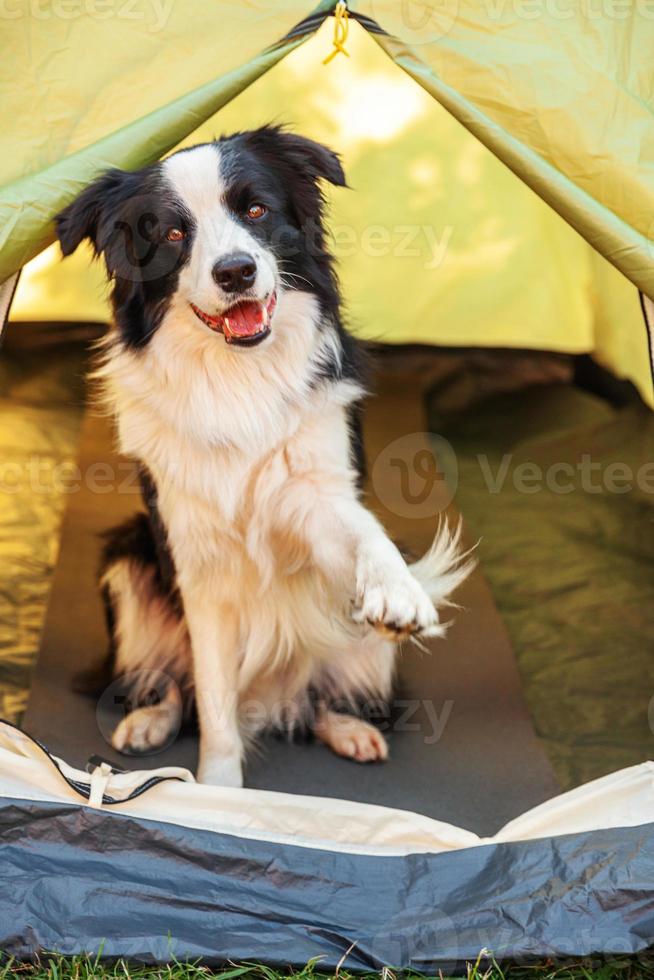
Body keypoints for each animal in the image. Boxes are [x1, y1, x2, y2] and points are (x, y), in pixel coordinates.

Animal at [55, 126, 472, 784]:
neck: (237, 377)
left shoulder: (314, 497)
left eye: (255, 210)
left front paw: (396, 590)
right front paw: (219, 792)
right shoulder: (195, 556)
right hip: (127, 560)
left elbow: (363, 532)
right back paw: (149, 720)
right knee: (179, 688)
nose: (236, 271)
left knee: (321, 697)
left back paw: (348, 727)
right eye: (171, 234)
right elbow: (214, 701)